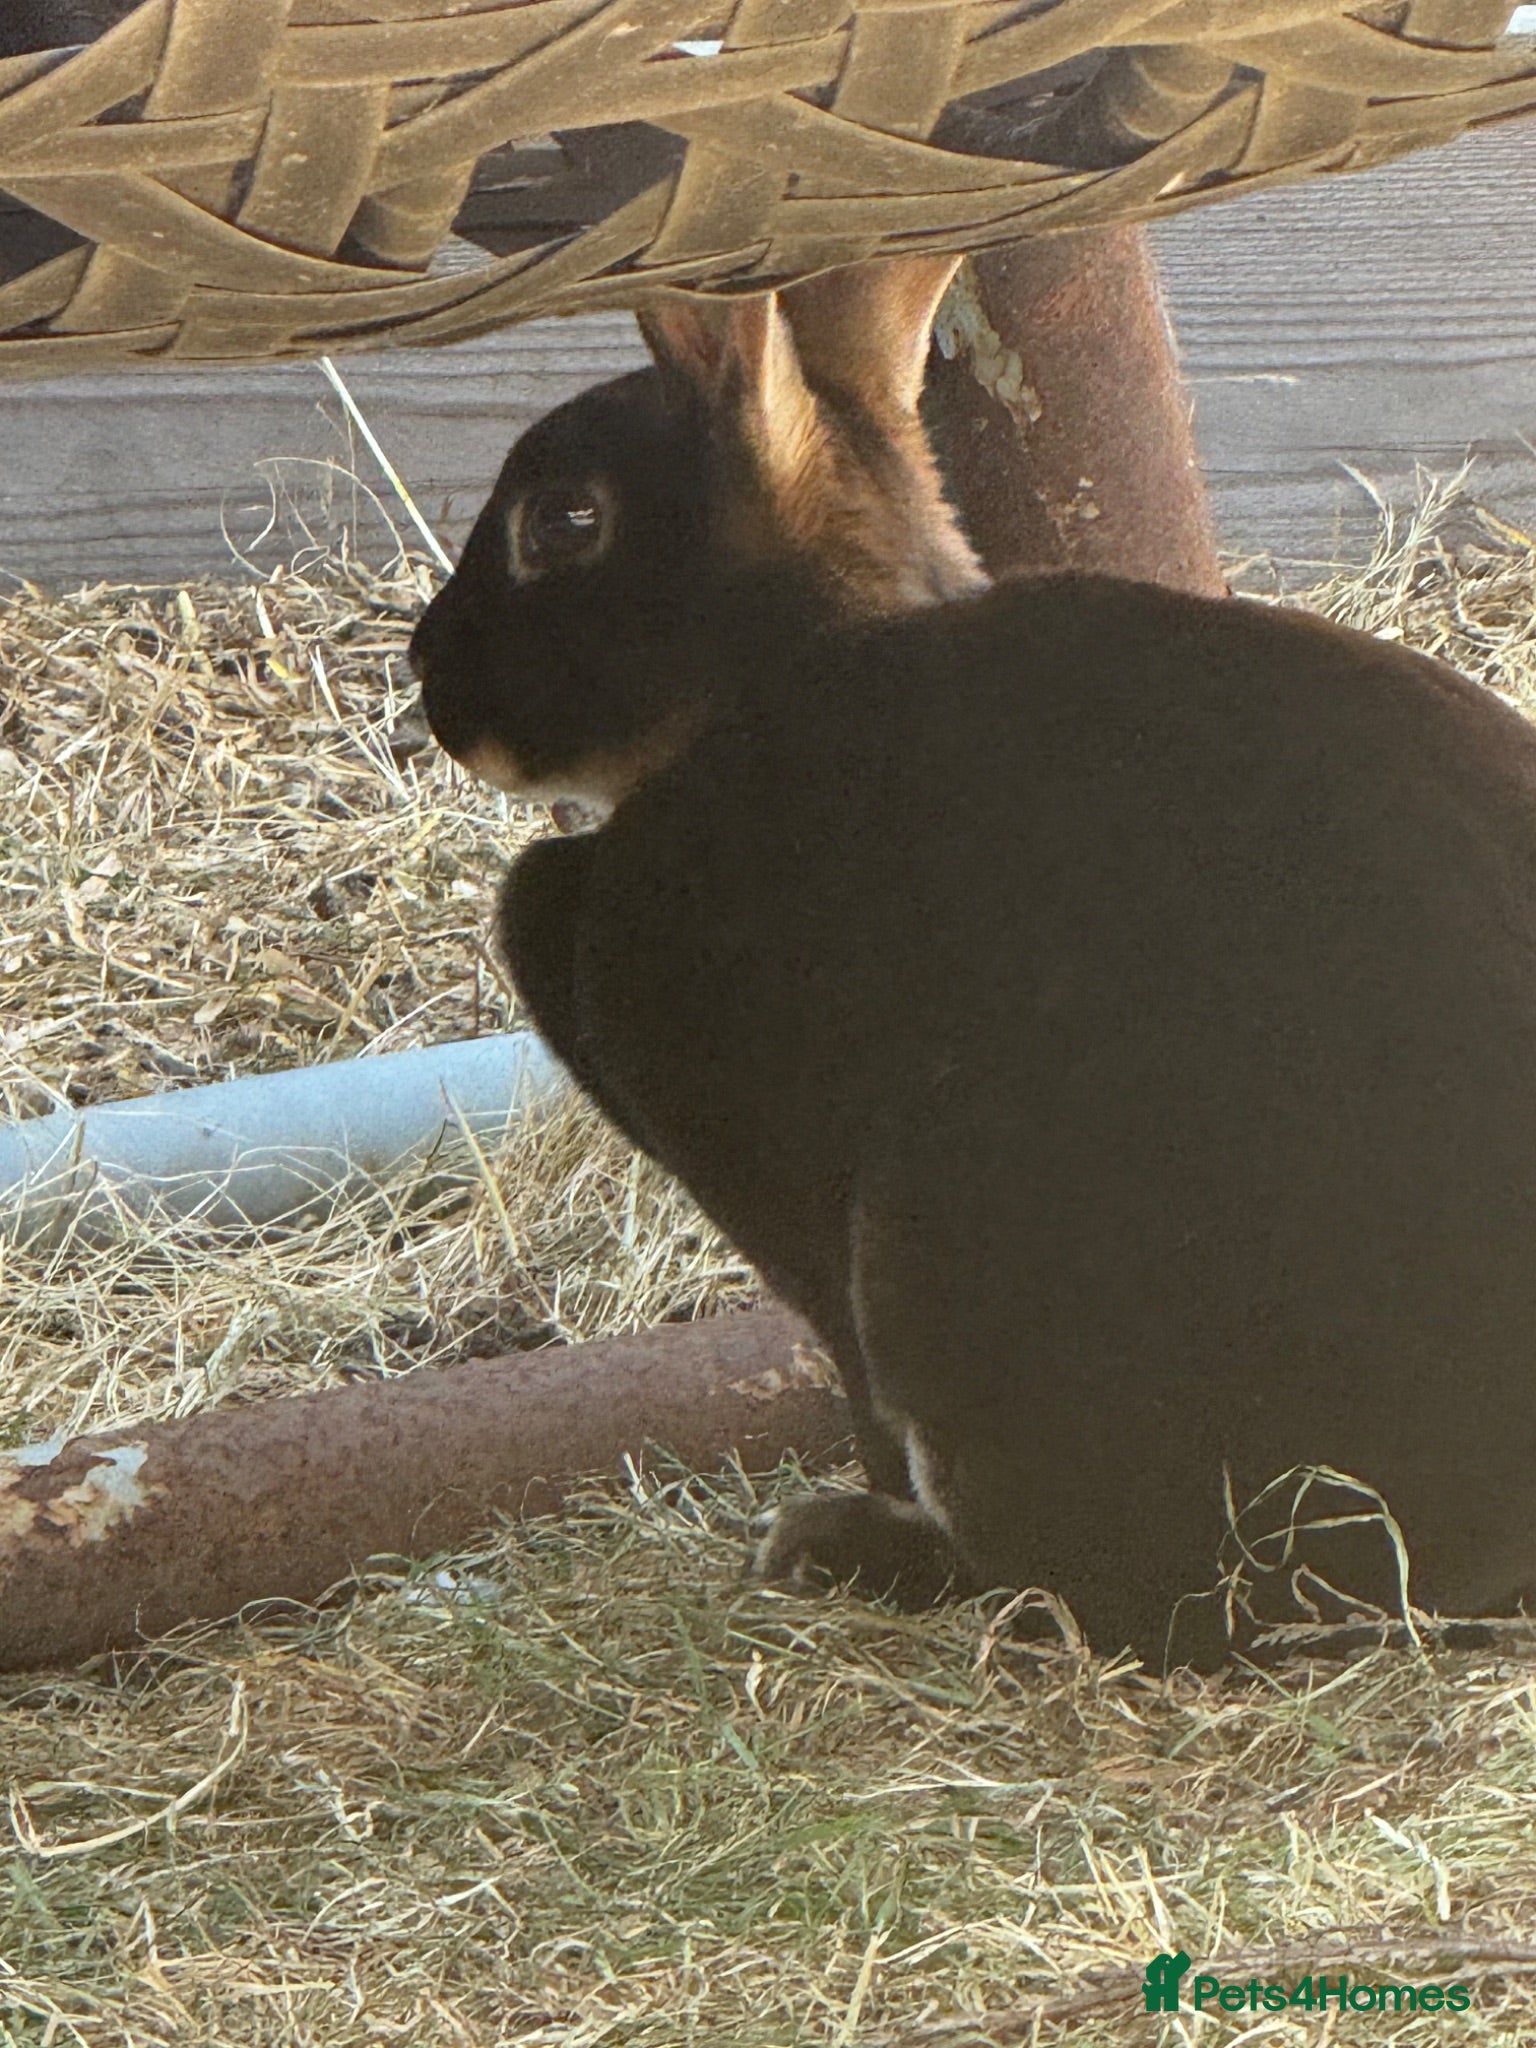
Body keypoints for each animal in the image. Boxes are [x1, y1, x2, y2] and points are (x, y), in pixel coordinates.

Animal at [411, 256, 1536, 1671]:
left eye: (565, 520)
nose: (430, 672)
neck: (774, 673)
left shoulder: (783, 1194)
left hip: (958, 1257)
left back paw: (858, 1548)